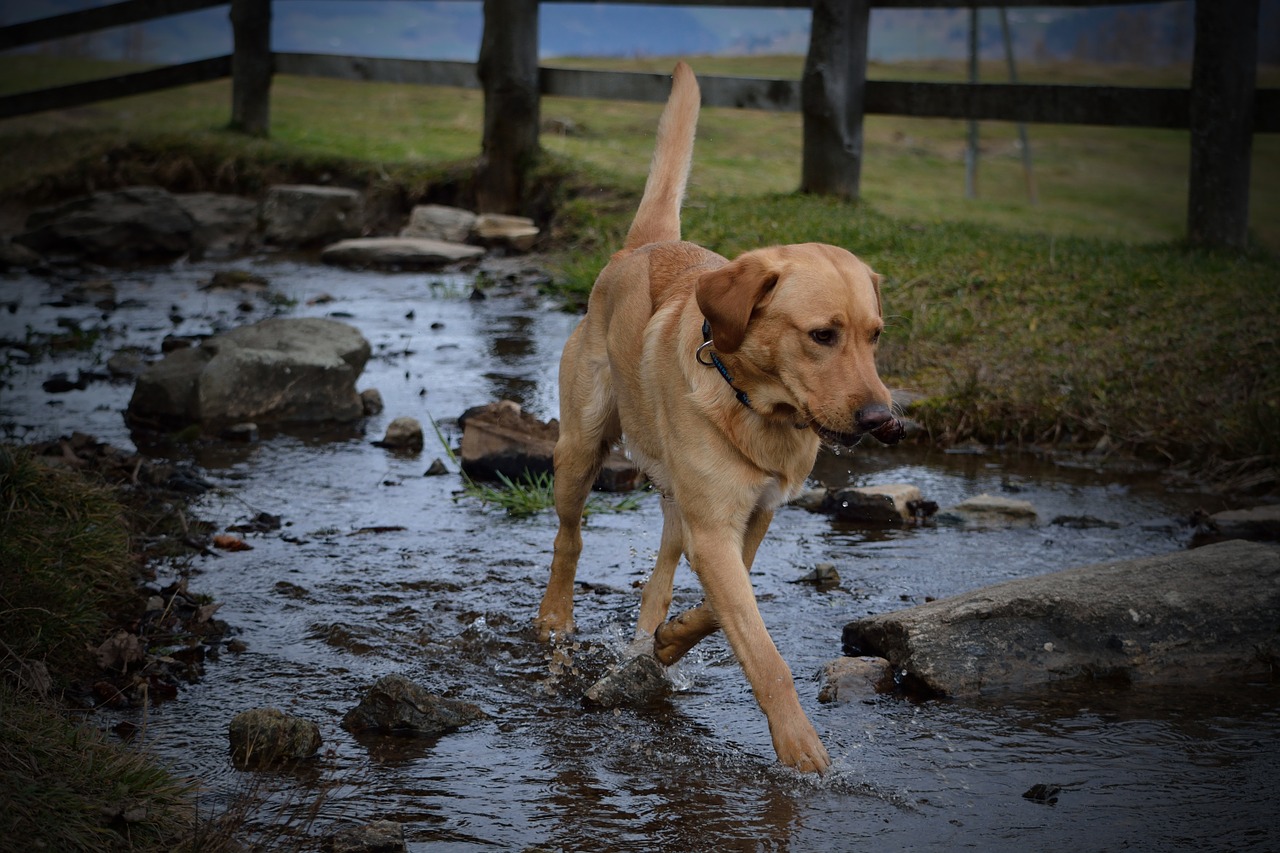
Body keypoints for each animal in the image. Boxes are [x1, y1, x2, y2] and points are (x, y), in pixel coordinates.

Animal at [535, 64, 906, 768]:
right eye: (822, 335)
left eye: (875, 335)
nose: (880, 419)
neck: (757, 406)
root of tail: (646, 244)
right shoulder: (715, 530)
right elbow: (763, 654)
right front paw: (800, 750)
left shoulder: (750, 517)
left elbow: (713, 608)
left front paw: (670, 640)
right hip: (580, 449)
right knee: (568, 539)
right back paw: (554, 621)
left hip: (676, 502)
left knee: (658, 574)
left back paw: (647, 639)